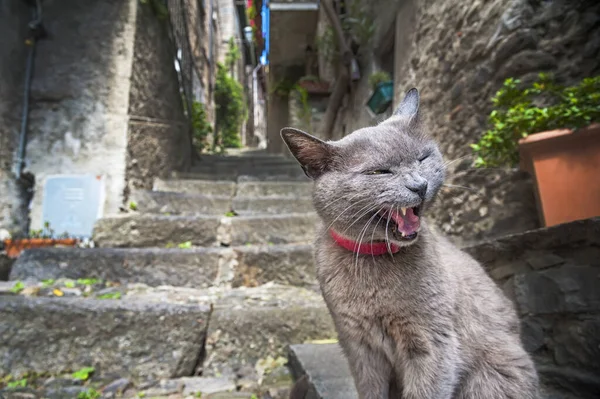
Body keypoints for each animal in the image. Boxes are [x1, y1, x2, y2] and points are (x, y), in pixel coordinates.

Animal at [282, 89, 540, 398]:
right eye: (379, 172)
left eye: (422, 158)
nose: (420, 185)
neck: (374, 262)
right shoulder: (358, 346)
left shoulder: (433, 342)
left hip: (491, 377)